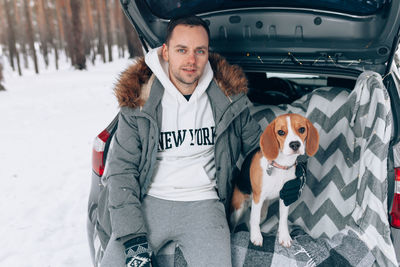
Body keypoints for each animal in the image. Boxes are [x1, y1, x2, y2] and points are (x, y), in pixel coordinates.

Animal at [231, 113, 318, 247]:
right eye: (281, 132)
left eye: (302, 129)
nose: (295, 144)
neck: (281, 165)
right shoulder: (258, 197)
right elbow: (254, 218)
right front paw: (256, 237)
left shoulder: (286, 196)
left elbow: (283, 219)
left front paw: (284, 236)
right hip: (238, 209)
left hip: (263, 212)